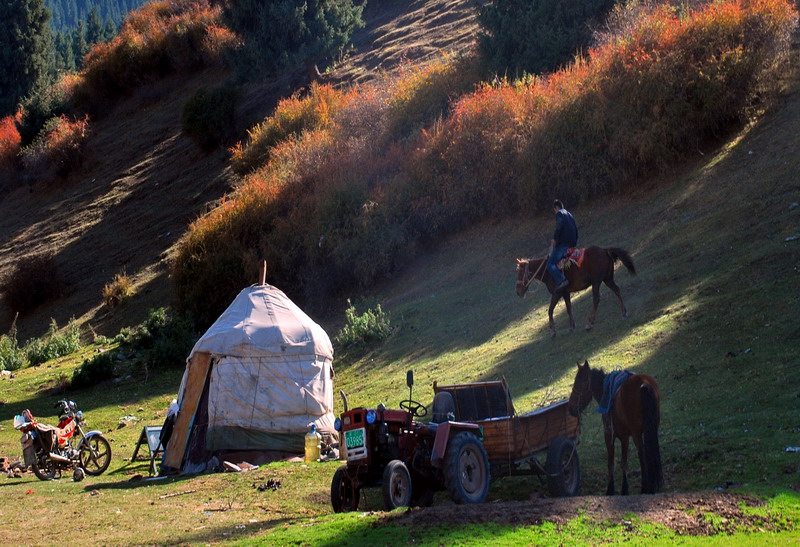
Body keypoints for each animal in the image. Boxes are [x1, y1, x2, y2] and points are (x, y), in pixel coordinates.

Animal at [568, 360, 664, 496]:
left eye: (580, 383)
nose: (570, 408)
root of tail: (643, 383)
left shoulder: (610, 436)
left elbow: (612, 463)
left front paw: (613, 489)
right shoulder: (626, 437)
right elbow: (623, 462)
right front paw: (624, 489)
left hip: (636, 434)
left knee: (642, 454)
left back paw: (645, 488)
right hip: (650, 429)